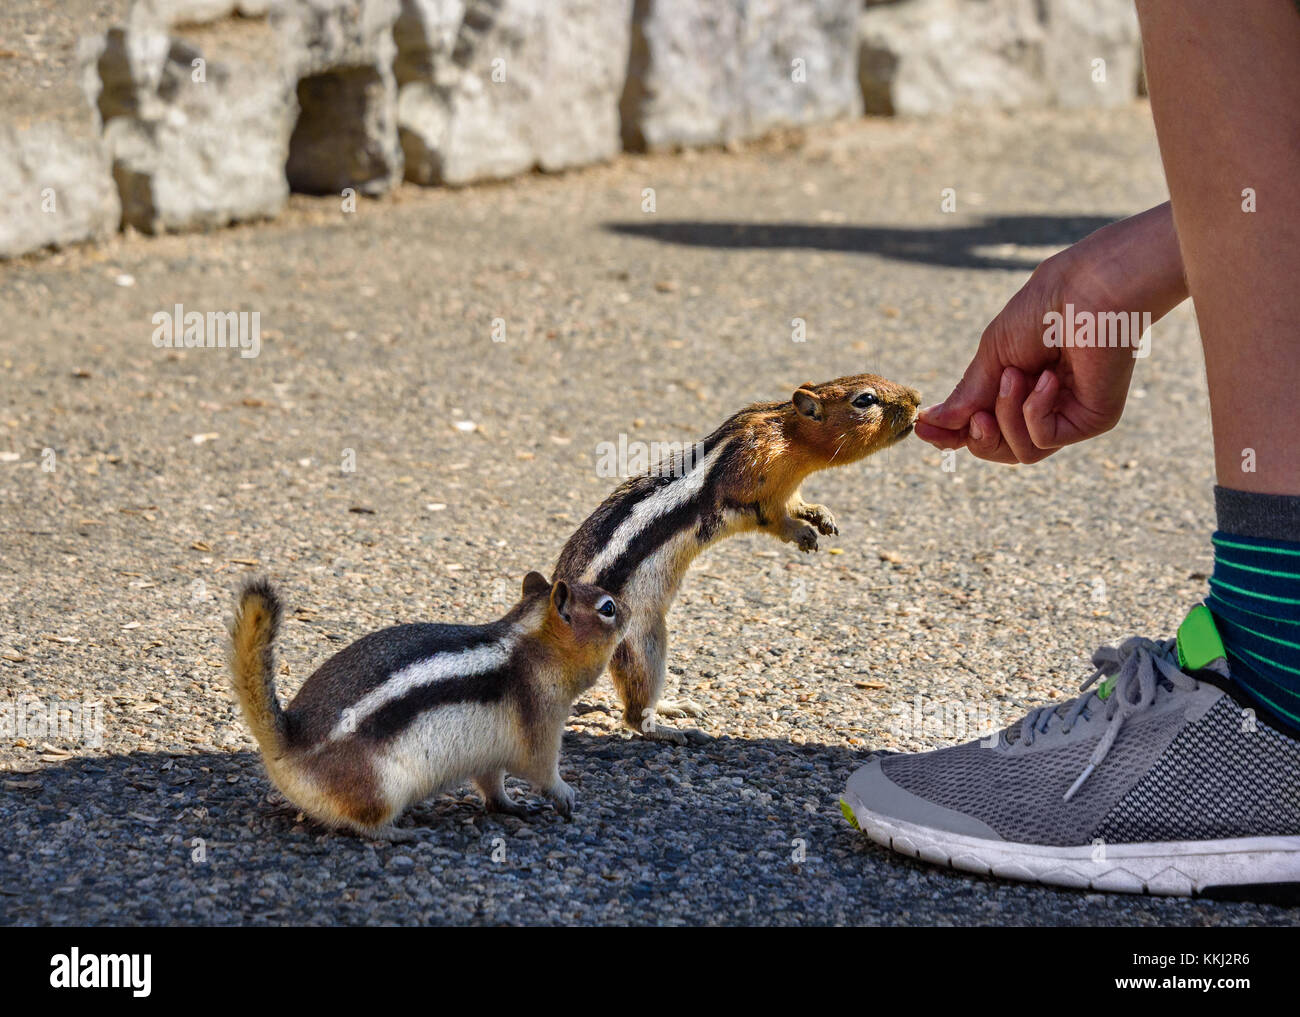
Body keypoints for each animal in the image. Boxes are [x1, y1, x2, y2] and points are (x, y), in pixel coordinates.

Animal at [553, 371, 920, 738]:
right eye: (865, 400)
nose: (917, 399)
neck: (789, 434)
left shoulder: (786, 490)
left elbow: (798, 504)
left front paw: (821, 515)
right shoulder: (753, 484)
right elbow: (772, 518)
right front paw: (801, 533)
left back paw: (673, 706)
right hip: (638, 641)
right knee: (633, 709)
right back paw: (667, 730)